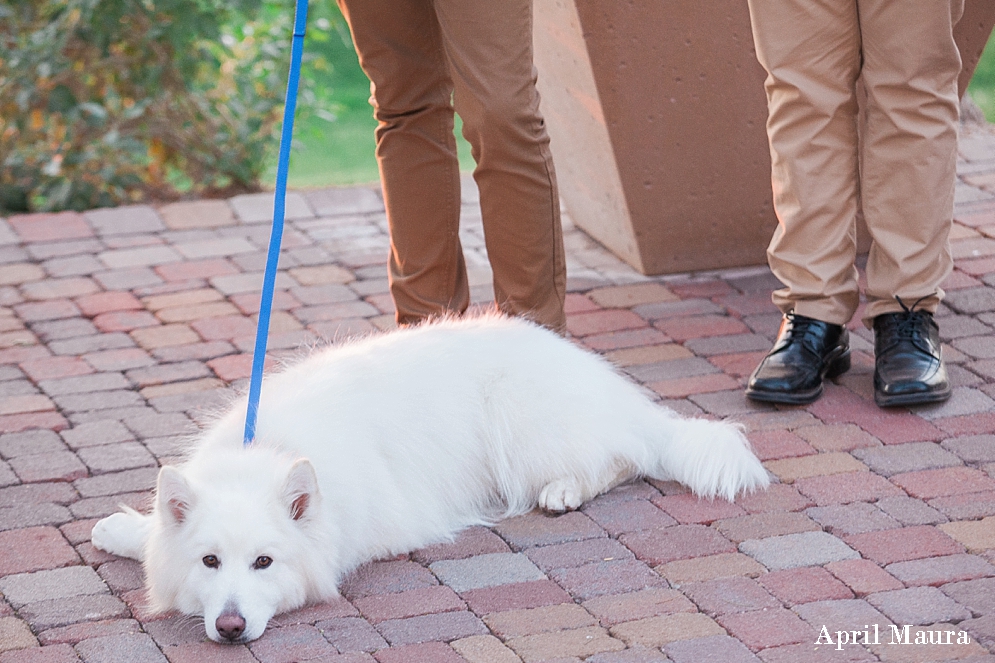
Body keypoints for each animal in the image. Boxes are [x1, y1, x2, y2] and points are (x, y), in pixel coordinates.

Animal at [89, 316, 772, 644]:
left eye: (264, 562)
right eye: (209, 562)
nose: (230, 629)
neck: (269, 451)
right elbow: (147, 536)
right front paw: (121, 529)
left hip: (522, 425)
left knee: (620, 458)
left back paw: (564, 490)